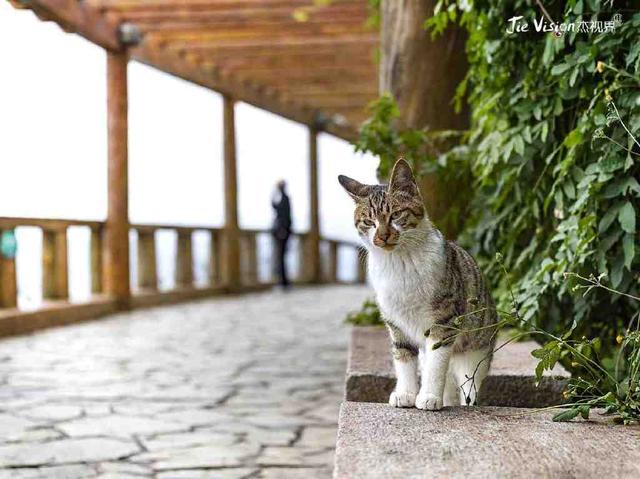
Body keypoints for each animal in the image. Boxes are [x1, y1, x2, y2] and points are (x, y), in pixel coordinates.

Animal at [338, 159, 498, 410]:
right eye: (369, 222)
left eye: (396, 214)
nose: (382, 236)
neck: (399, 263)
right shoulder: (396, 323)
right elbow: (403, 357)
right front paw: (405, 394)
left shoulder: (444, 319)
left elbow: (436, 362)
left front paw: (429, 396)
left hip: (475, 349)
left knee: (468, 384)